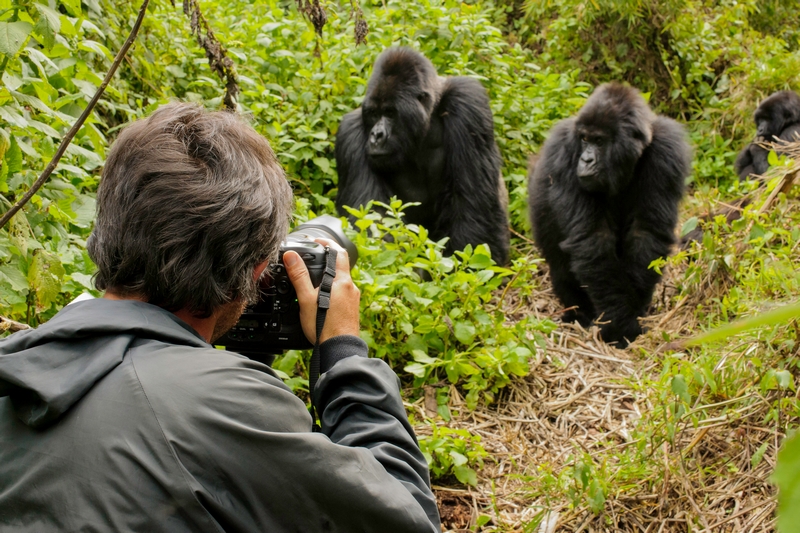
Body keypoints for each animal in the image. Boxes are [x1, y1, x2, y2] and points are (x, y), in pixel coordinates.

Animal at [334, 47, 510, 266]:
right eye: (374, 113)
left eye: (390, 113)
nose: (376, 135)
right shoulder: (350, 133)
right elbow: (371, 220)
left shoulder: (468, 102)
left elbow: (474, 209)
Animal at [528, 83, 692, 344]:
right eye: (584, 139)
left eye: (599, 141)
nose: (585, 159)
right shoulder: (565, 149)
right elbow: (592, 239)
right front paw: (620, 325)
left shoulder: (667, 150)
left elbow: (646, 233)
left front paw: (633, 313)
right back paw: (578, 314)